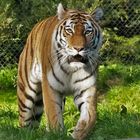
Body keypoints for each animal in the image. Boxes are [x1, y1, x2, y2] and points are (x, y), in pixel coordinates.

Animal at [17, 3, 103, 140]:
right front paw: (57, 134)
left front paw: (77, 134)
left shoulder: (86, 89)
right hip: (26, 92)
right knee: (24, 121)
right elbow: (53, 115)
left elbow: (90, 117)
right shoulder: (50, 87)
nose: (78, 48)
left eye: (87, 32)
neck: (72, 69)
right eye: (69, 31)